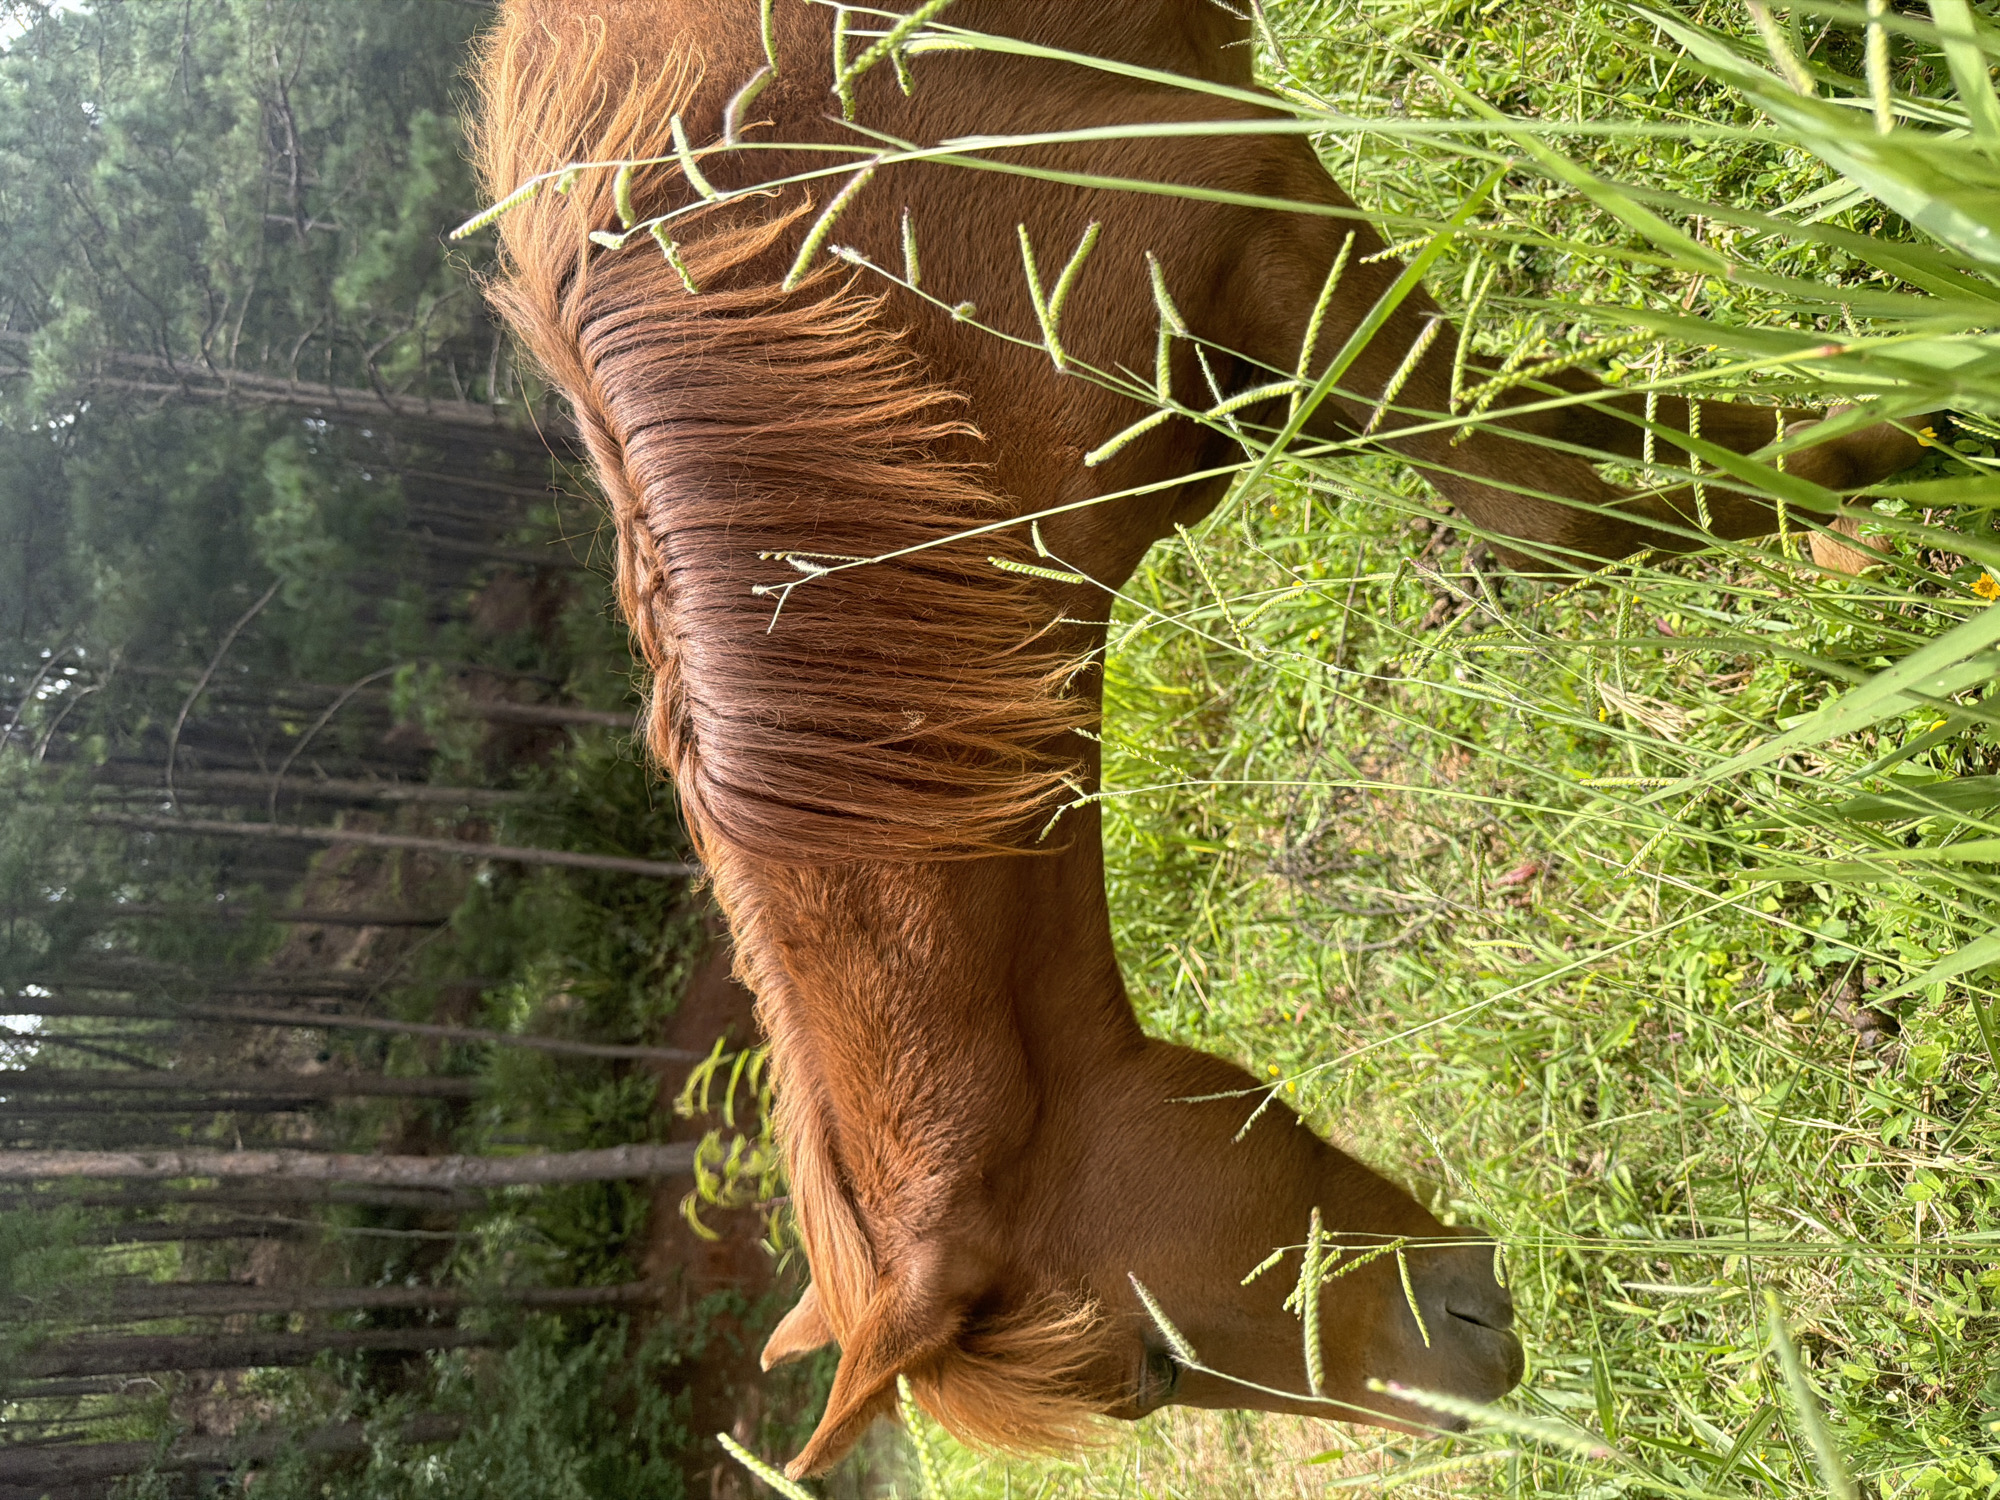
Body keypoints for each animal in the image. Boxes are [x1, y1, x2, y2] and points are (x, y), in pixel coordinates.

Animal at [469, 0, 1928, 1478]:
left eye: (1145, 1373)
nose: (1480, 1359)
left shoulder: (1262, 216)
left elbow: (1546, 507)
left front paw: (1876, 445)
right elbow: (1562, 438)